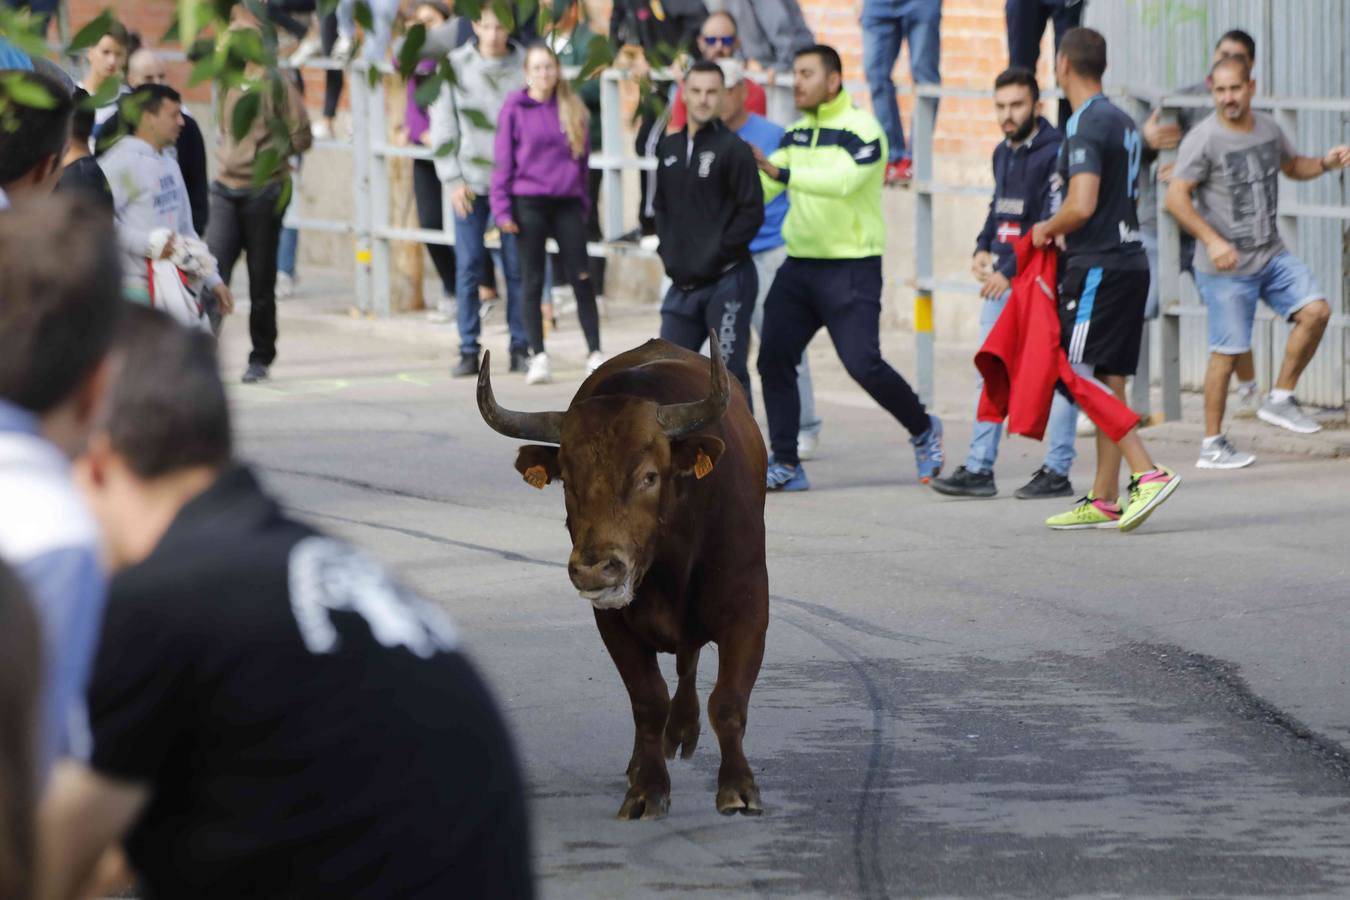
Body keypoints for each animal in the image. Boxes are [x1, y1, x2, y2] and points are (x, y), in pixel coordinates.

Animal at [477, 334, 772, 820]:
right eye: (566, 481)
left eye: (649, 476)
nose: (595, 568)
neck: (670, 563)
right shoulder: (613, 623)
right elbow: (648, 701)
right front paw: (647, 788)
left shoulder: (749, 610)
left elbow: (728, 701)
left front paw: (738, 788)